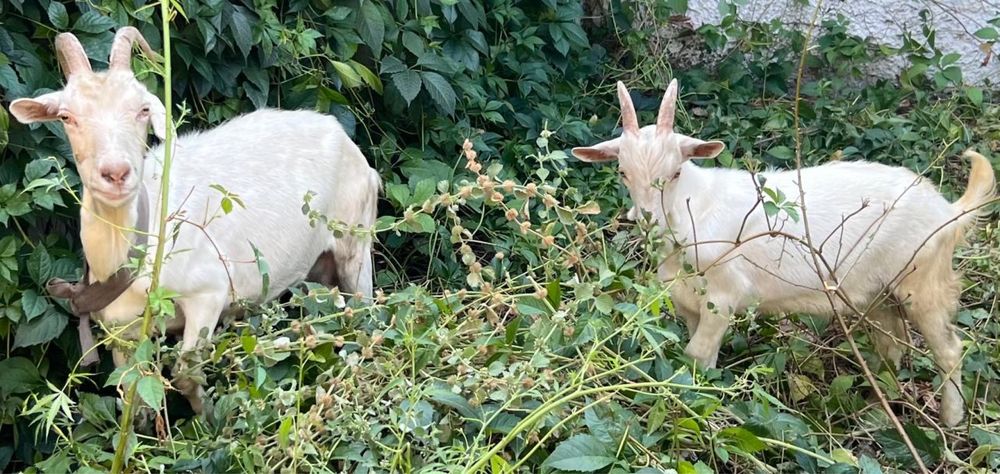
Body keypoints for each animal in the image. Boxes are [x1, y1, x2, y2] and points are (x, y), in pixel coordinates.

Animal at [8, 28, 381, 413]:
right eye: (66, 116)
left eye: (143, 109)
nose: (116, 173)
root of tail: (339, 131)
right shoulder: (120, 331)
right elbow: (130, 392)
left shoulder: (208, 294)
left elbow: (187, 373)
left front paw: (209, 419)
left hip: (356, 240)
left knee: (363, 313)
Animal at [573, 80, 996, 427]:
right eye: (623, 172)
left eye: (676, 172)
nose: (645, 220)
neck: (693, 211)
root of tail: (948, 210)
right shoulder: (687, 301)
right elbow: (698, 355)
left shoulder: (723, 295)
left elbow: (696, 355)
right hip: (874, 291)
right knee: (890, 340)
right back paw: (875, 407)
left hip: (923, 279)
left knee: (949, 348)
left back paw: (951, 419)